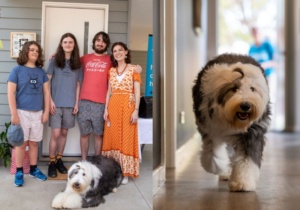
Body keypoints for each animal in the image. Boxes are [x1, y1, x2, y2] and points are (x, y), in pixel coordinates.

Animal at [192, 53, 272, 192]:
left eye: (252, 89)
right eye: (234, 88)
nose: (246, 105)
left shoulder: (252, 132)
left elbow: (247, 159)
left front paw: (242, 183)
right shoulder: (210, 128)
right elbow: (212, 153)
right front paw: (219, 168)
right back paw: (225, 172)